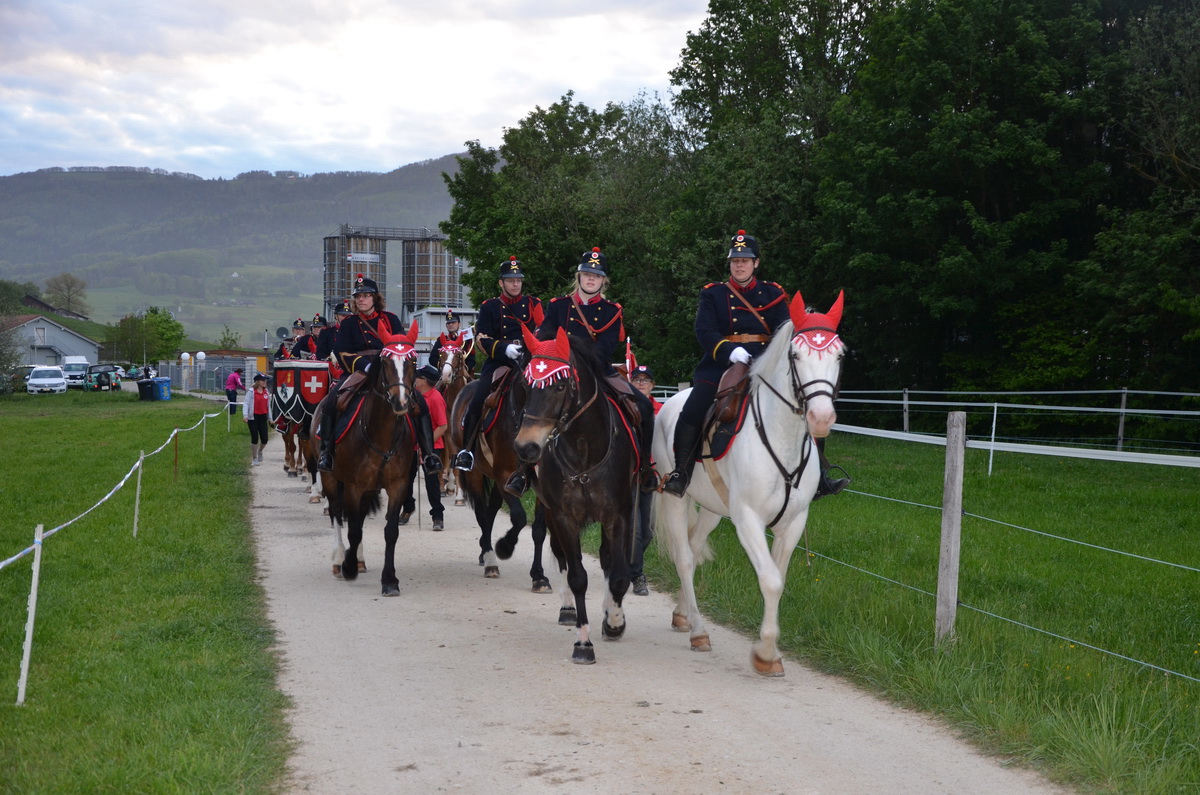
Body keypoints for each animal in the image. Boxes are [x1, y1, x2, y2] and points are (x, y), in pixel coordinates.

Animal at [302, 321, 422, 596]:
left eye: (413, 361)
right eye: (385, 362)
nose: (401, 401)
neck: (382, 434)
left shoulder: (397, 485)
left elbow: (390, 531)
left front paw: (389, 580)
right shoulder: (353, 486)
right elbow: (353, 530)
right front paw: (348, 567)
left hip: (369, 488)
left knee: (361, 517)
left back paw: (359, 558)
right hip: (331, 478)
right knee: (337, 514)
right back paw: (339, 559)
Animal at [448, 374, 550, 591]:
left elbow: (538, 530)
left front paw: (538, 576)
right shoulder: (504, 476)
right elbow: (519, 518)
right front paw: (504, 546)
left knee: (491, 509)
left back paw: (483, 552)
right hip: (476, 473)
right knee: (482, 513)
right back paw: (490, 560)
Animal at [513, 325, 641, 665]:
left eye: (559, 385)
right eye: (525, 385)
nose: (526, 447)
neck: (584, 450)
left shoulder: (620, 514)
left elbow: (619, 573)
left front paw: (614, 621)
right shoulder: (563, 516)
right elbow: (577, 575)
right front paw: (583, 643)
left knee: (608, 560)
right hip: (549, 511)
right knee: (561, 557)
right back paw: (568, 608)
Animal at [652, 290, 845, 676]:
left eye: (839, 354)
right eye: (796, 355)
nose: (821, 417)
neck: (781, 437)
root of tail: (666, 405)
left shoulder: (793, 522)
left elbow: (778, 580)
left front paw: (770, 649)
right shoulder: (748, 519)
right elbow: (769, 580)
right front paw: (766, 654)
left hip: (713, 509)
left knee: (694, 548)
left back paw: (683, 614)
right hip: (675, 499)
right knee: (684, 558)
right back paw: (698, 630)